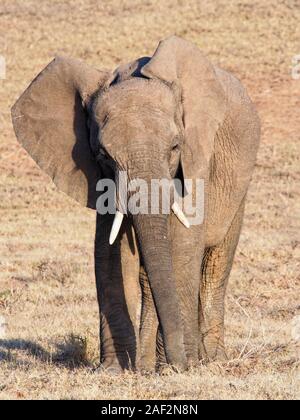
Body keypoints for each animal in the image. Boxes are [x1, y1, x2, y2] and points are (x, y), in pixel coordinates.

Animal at [11, 35, 260, 370]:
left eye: (175, 147)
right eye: (103, 155)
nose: (181, 362)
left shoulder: (197, 160)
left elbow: (182, 244)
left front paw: (176, 367)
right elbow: (110, 252)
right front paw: (117, 370)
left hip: (240, 184)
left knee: (215, 263)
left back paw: (210, 360)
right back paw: (148, 362)